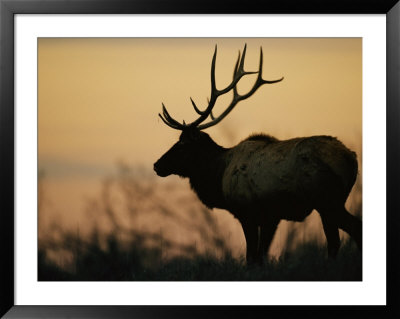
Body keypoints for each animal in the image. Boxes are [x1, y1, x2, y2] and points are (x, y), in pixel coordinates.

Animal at [154, 45, 362, 264]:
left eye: (181, 144)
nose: (157, 165)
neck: (218, 175)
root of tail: (351, 158)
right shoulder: (271, 217)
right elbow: (262, 255)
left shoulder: (246, 212)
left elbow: (252, 257)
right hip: (331, 203)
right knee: (336, 239)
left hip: (327, 199)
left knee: (351, 230)